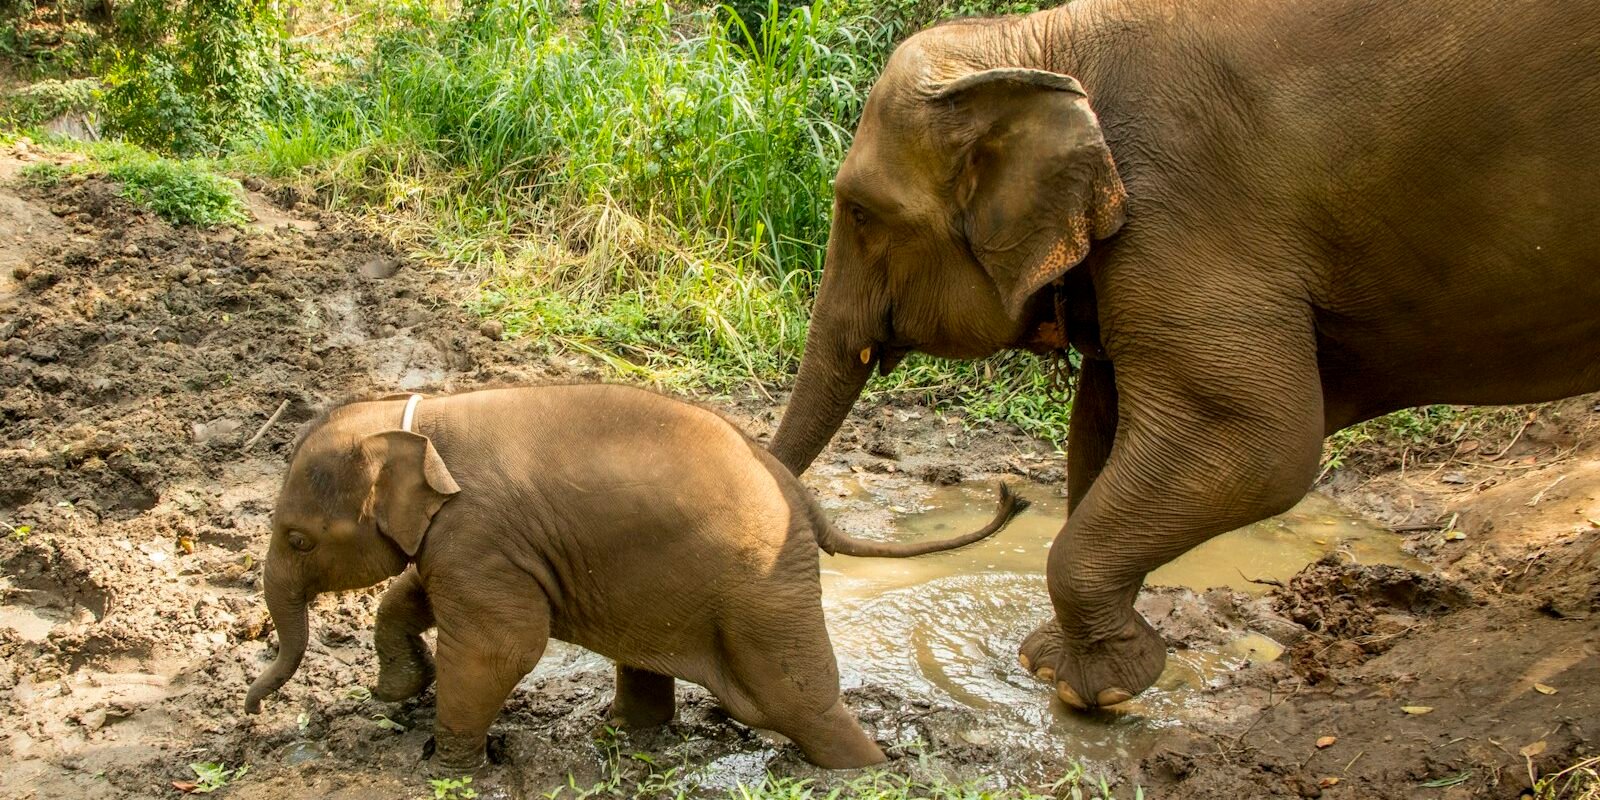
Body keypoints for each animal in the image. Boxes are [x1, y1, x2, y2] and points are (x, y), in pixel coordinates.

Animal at [242, 386, 1029, 771]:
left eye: (297, 538)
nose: (250, 712)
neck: (412, 416)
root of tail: (802, 497)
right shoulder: (466, 543)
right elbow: (416, 594)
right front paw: (400, 692)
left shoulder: (478, 533)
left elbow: (506, 643)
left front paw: (448, 769)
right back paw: (623, 731)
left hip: (764, 593)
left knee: (800, 701)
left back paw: (868, 773)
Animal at [766, 0, 1600, 712]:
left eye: (861, 213)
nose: (1009, 498)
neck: (1043, 41)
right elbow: (1098, 430)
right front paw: (1053, 664)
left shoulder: (1188, 207)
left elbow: (1256, 440)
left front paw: (1097, 689)